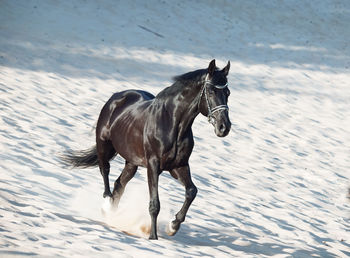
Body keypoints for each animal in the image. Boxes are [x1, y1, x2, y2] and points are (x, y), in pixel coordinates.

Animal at [62, 59, 232, 239]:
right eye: (211, 92)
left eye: (227, 92)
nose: (224, 127)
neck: (172, 124)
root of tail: (116, 97)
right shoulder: (153, 165)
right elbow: (154, 204)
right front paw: (153, 236)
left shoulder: (179, 166)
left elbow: (191, 191)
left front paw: (173, 226)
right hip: (104, 145)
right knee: (105, 170)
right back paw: (107, 206)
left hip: (131, 162)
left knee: (119, 184)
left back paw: (113, 215)